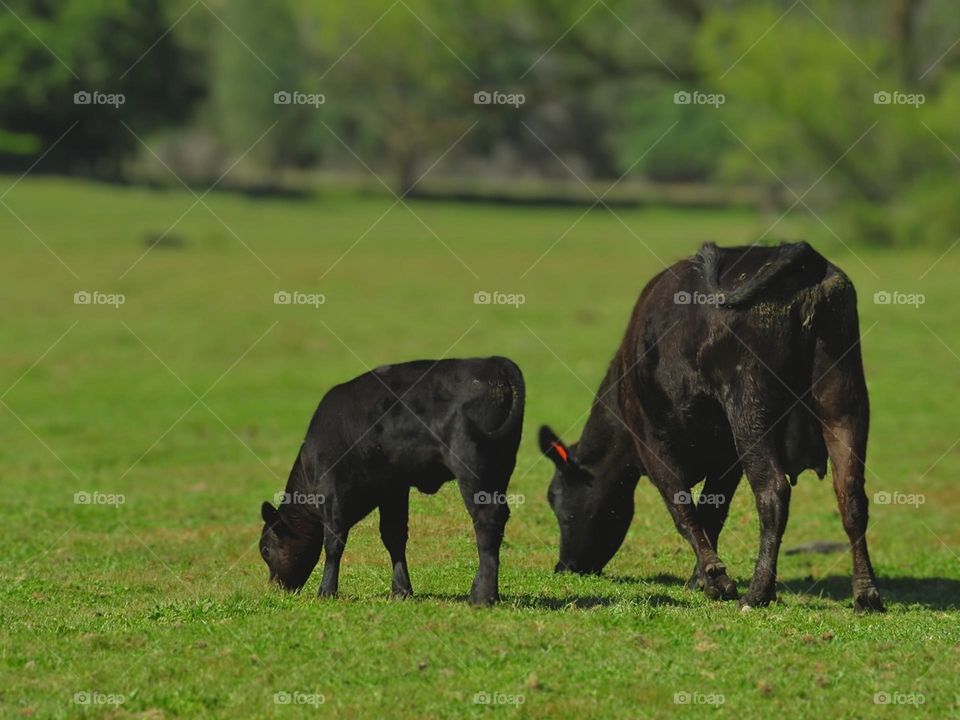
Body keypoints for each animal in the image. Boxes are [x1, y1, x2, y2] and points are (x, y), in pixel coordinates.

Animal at [258, 358, 520, 604]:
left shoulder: (333, 488)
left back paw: (481, 596)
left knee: (486, 519)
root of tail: (496, 362)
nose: (277, 588)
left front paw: (326, 591)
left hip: (471, 466)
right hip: (499, 467)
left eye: (266, 549)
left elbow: (333, 541)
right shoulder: (393, 488)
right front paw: (401, 591)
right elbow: (394, 536)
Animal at [540, 243, 884, 612]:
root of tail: (803, 255)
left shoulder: (652, 443)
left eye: (557, 499)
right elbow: (712, 510)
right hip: (843, 399)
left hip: (749, 406)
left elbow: (682, 507)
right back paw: (866, 594)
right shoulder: (726, 458)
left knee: (773, 491)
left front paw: (715, 580)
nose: (564, 566)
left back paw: (758, 592)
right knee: (850, 495)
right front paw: (700, 578)